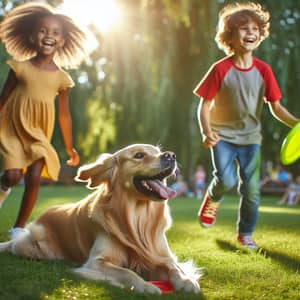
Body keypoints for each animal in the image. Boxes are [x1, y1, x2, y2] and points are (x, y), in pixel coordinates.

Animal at [1, 144, 202, 294]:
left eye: (157, 151)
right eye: (139, 155)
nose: (171, 155)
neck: (137, 218)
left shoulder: (159, 256)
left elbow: (173, 267)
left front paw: (186, 280)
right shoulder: (97, 262)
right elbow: (126, 272)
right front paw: (145, 286)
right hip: (34, 248)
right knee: (15, 245)